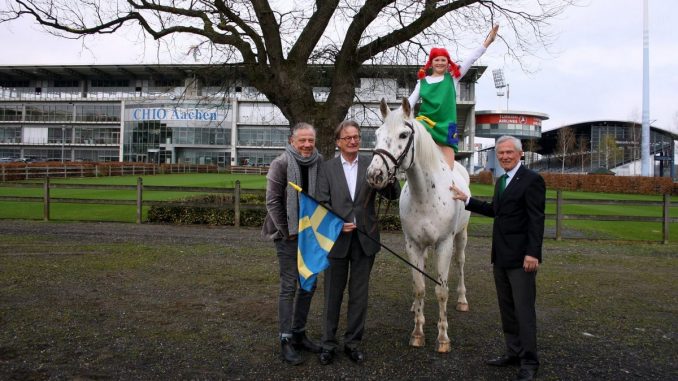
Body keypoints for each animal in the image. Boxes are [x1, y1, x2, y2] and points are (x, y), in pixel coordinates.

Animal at [366, 97, 472, 350]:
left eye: (404, 135)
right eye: (377, 133)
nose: (375, 174)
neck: (425, 195)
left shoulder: (444, 244)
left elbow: (441, 291)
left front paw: (443, 338)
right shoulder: (413, 244)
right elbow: (419, 287)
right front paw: (417, 332)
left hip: (460, 237)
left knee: (461, 263)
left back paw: (462, 299)